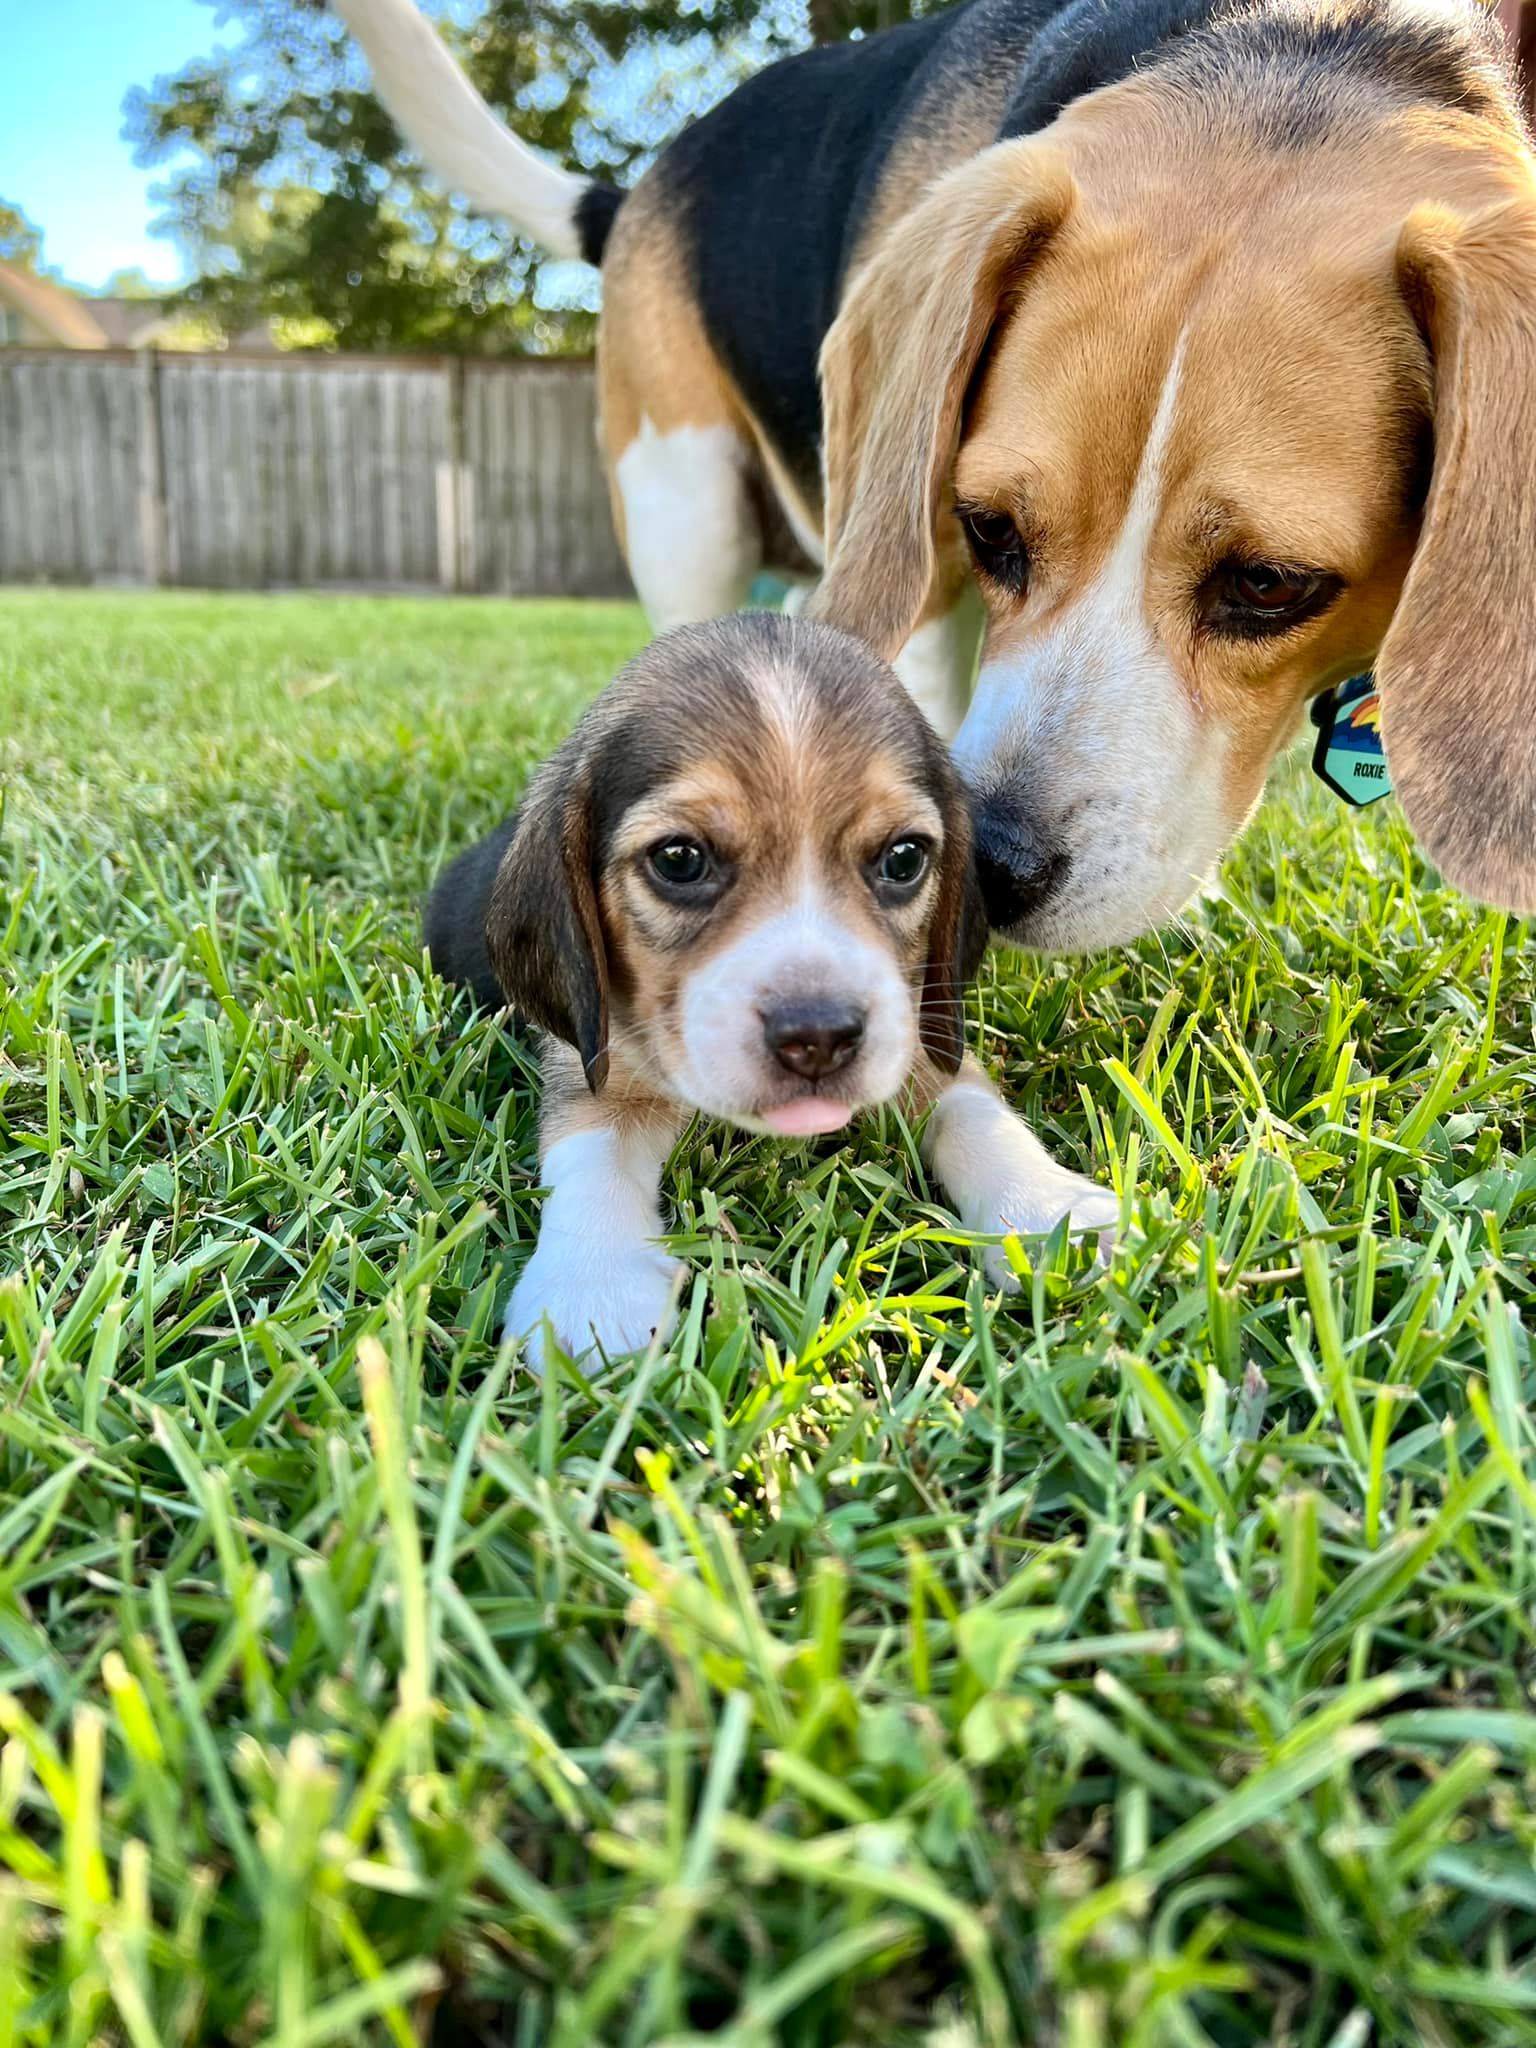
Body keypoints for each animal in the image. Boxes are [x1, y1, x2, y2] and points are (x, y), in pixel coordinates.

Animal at [339, 0, 1536, 942]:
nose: (995, 869)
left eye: (1271, 584)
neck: (1310, 43)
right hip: (687, 500)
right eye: (988, 526)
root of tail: (640, 187)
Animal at [428, 614, 1114, 1368]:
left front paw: (1047, 1208)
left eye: (904, 859)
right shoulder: (592, 1053)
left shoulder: (917, 1021)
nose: (819, 1037)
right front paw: (593, 1283)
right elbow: (591, 1146)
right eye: (679, 859)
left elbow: (973, 1107)